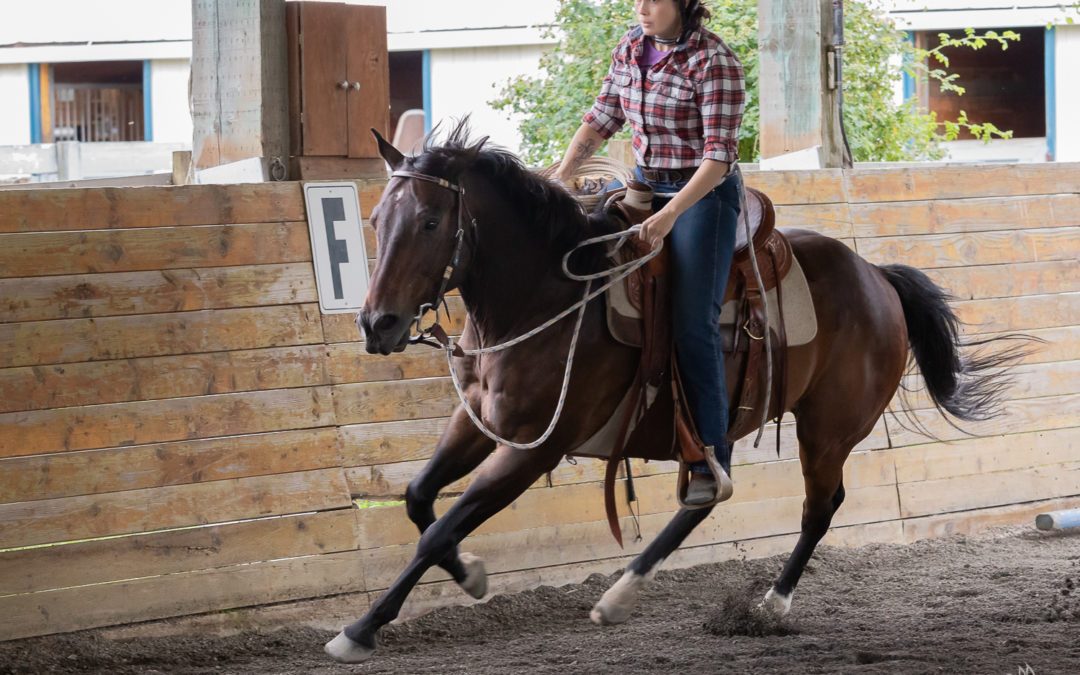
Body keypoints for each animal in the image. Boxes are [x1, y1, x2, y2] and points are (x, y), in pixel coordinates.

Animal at [324, 118, 1023, 660]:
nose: (378, 324)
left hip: (827, 430)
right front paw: (459, 578)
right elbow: (420, 501)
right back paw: (621, 594)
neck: (544, 296)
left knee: (818, 507)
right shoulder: (478, 424)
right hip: (722, 420)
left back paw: (770, 604)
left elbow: (440, 527)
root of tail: (876, 276)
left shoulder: (534, 449)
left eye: (430, 220)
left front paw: (368, 625)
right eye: (378, 218)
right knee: (708, 495)